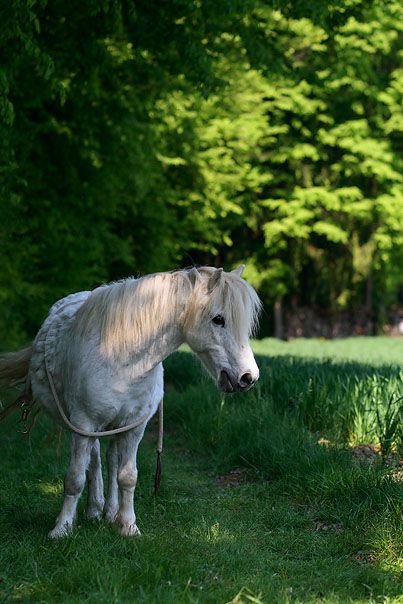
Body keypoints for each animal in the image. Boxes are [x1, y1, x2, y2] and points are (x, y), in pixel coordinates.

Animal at [0, 266, 262, 540]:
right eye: (218, 319)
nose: (248, 377)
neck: (120, 357)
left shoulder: (135, 426)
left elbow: (127, 476)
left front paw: (127, 525)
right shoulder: (83, 423)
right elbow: (74, 477)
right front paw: (61, 528)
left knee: (111, 458)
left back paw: (109, 511)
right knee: (94, 459)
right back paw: (94, 509)